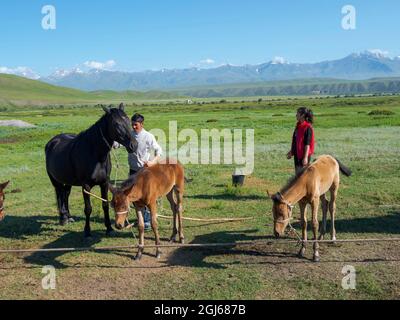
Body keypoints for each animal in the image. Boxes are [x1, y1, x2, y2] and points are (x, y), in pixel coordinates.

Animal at [45, 104, 138, 236]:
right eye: (116, 124)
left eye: (129, 121)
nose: (133, 145)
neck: (95, 154)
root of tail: (52, 142)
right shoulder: (86, 186)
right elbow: (88, 209)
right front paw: (87, 231)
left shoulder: (104, 183)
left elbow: (105, 204)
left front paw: (109, 228)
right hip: (55, 180)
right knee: (59, 194)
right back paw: (63, 218)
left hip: (68, 181)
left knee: (66, 194)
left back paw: (69, 217)